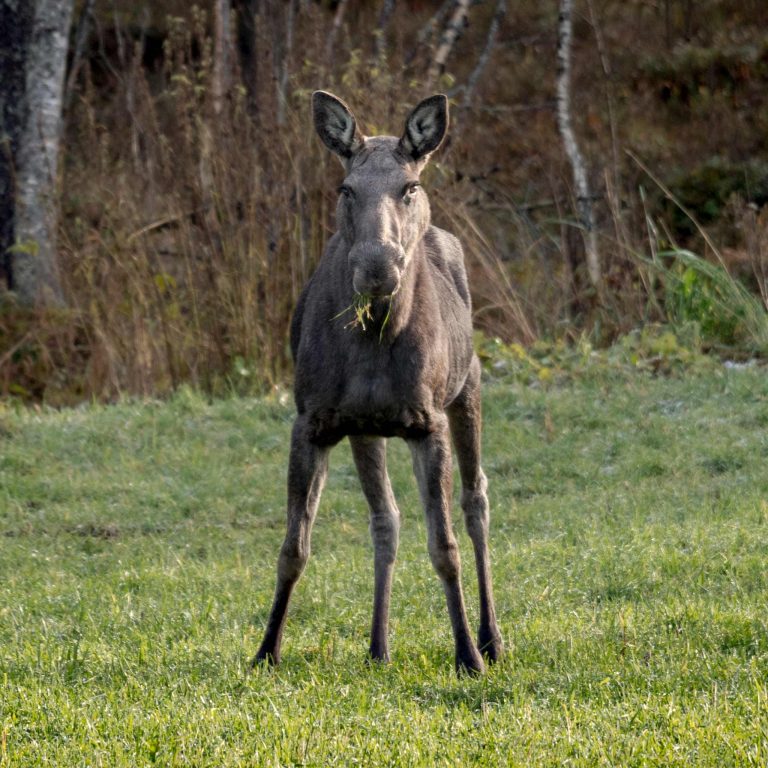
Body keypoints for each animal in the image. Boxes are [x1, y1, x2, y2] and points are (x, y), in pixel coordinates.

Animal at [254, 93, 504, 676]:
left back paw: (491, 638)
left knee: (476, 499)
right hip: (367, 429)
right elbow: (293, 546)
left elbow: (444, 547)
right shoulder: (313, 421)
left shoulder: (427, 421)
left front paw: (466, 656)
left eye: (408, 187)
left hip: (469, 385)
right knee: (386, 520)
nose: (377, 266)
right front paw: (266, 650)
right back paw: (378, 646)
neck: (372, 342)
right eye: (346, 188)